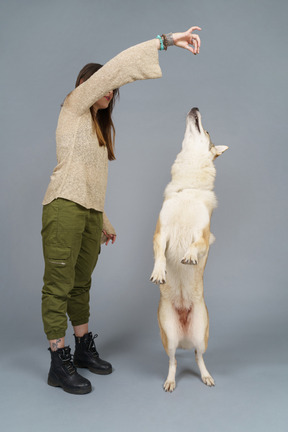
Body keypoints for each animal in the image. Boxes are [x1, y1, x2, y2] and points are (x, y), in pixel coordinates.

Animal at [150, 107, 228, 392]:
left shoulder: (203, 235)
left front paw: (190, 256)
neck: (189, 188)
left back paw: (206, 376)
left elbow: (196, 244)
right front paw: (159, 271)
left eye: (206, 130)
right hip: (169, 337)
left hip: (201, 335)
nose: (195, 108)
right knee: (173, 361)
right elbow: (159, 253)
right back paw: (170, 381)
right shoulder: (161, 233)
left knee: (198, 356)